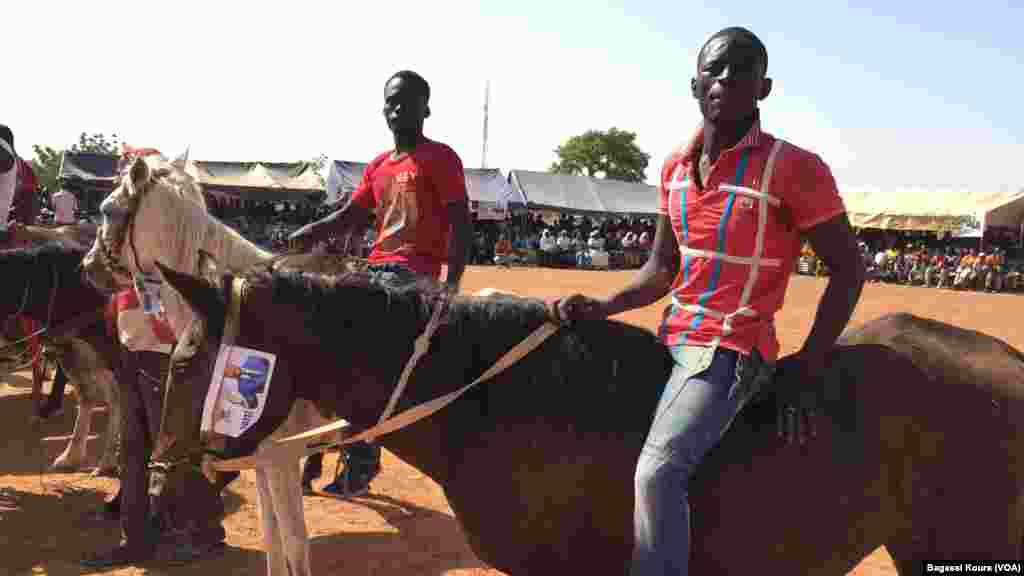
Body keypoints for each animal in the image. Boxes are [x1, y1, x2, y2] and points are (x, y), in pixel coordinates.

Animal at [84, 155, 331, 573]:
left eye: (107, 209)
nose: (89, 266)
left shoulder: (280, 457)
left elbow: (295, 543)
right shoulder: (262, 457)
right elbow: (274, 539)